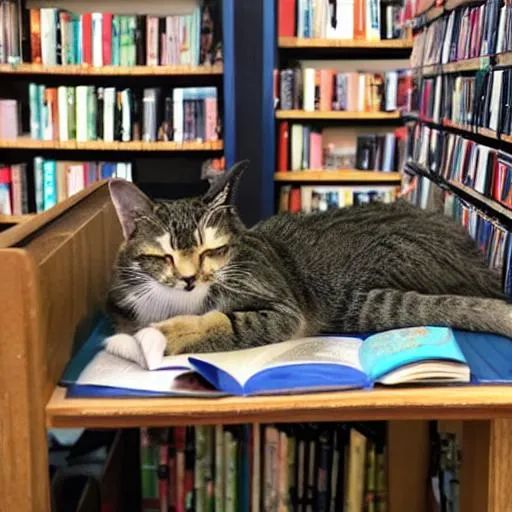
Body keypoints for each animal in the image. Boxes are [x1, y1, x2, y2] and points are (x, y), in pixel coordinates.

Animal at [105, 162, 512, 354]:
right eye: (165, 256)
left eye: (212, 251)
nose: (190, 278)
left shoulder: (282, 308)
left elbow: (225, 322)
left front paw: (161, 335)